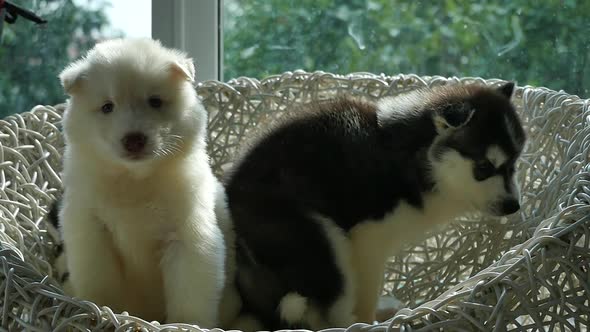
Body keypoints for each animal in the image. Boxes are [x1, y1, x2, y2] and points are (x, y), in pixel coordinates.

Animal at [56, 37, 227, 326]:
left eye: (155, 101)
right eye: (107, 107)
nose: (134, 139)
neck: (134, 179)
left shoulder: (187, 238)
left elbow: (190, 296)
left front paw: (188, 324)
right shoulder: (92, 232)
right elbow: (100, 285)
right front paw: (101, 313)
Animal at [225, 82, 528, 330]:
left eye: (514, 165)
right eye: (484, 167)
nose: (513, 206)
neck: (417, 158)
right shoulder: (368, 238)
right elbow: (365, 294)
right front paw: (367, 321)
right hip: (323, 239)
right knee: (330, 312)